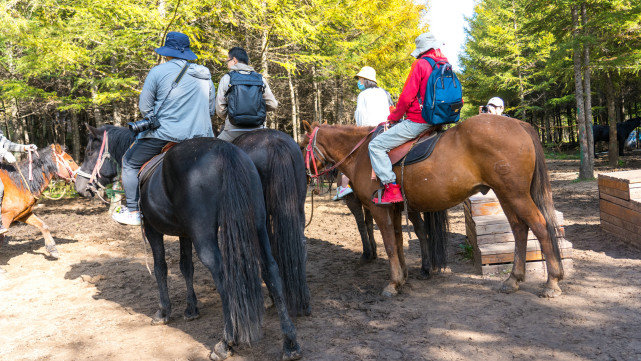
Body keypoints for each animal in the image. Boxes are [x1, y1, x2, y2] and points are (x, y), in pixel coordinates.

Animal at [76, 129, 302, 358]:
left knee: (223, 277)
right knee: (271, 270)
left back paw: (226, 342)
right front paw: (191, 309)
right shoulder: (184, 233)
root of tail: (226, 152)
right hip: (258, 224)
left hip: (206, 235)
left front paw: (164, 311)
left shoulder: (152, 229)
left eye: (89, 152)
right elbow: (186, 267)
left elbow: (160, 268)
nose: (79, 187)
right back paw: (290, 342)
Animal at [304, 115, 564, 298]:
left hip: (515, 194)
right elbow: (398, 240)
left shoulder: (378, 209)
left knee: (540, 226)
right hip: (506, 194)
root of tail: (520, 124)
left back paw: (552, 282)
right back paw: (513, 279)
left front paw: (393, 282)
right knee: (520, 229)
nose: (305, 176)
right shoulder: (395, 209)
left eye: (302, 144)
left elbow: (389, 245)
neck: (361, 155)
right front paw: (404, 277)